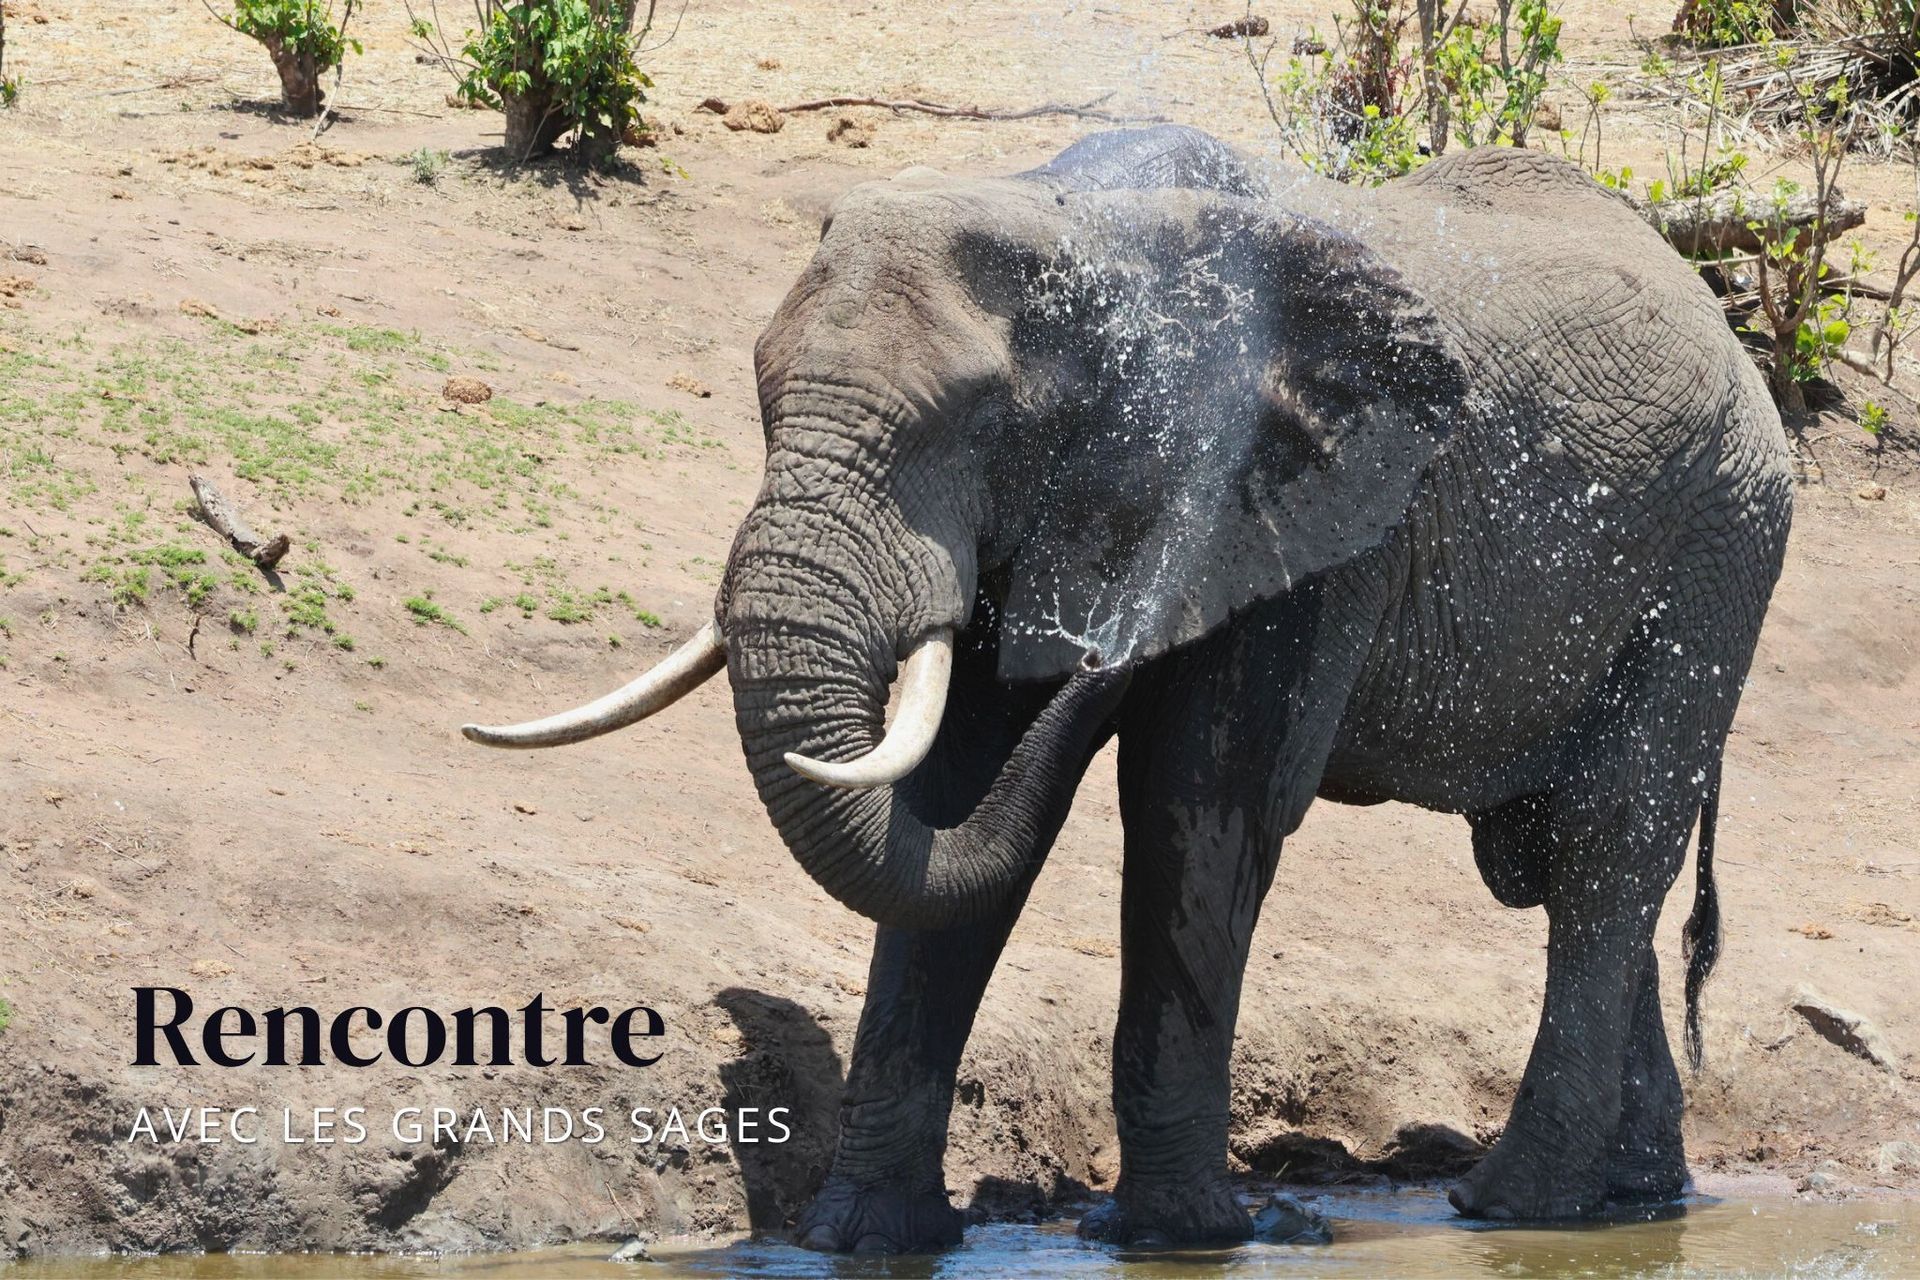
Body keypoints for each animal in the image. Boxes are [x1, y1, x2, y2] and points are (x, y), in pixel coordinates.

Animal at [464, 126, 1793, 1249]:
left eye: (977, 416)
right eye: (759, 390)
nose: (1107, 661)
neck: (1078, 212)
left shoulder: (1304, 516)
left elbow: (1197, 806)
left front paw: (1177, 1238)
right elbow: (953, 806)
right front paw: (864, 1240)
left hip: (1720, 550)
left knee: (1602, 844)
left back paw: (1518, 1207)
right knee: (1559, 858)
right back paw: (1638, 1195)